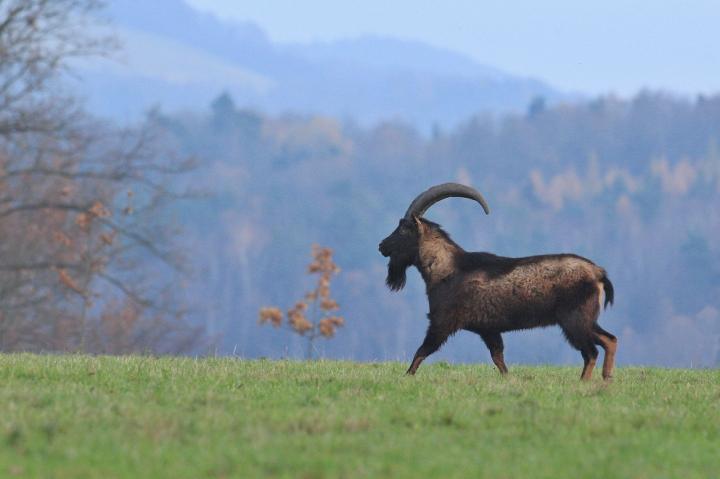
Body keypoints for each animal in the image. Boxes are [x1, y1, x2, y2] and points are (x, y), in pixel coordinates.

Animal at [378, 183, 616, 380]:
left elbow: (422, 350)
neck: (448, 269)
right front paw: (509, 379)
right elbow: (498, 357)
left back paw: (584, 382)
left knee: (591, 351)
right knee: (609, 340)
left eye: (404, 229)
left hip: (574, 319)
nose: (382, 246)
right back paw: (606, 378)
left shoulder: (442, 322)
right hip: (585, 318)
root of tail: (597, 272)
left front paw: (407, 376)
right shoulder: (489, 329)